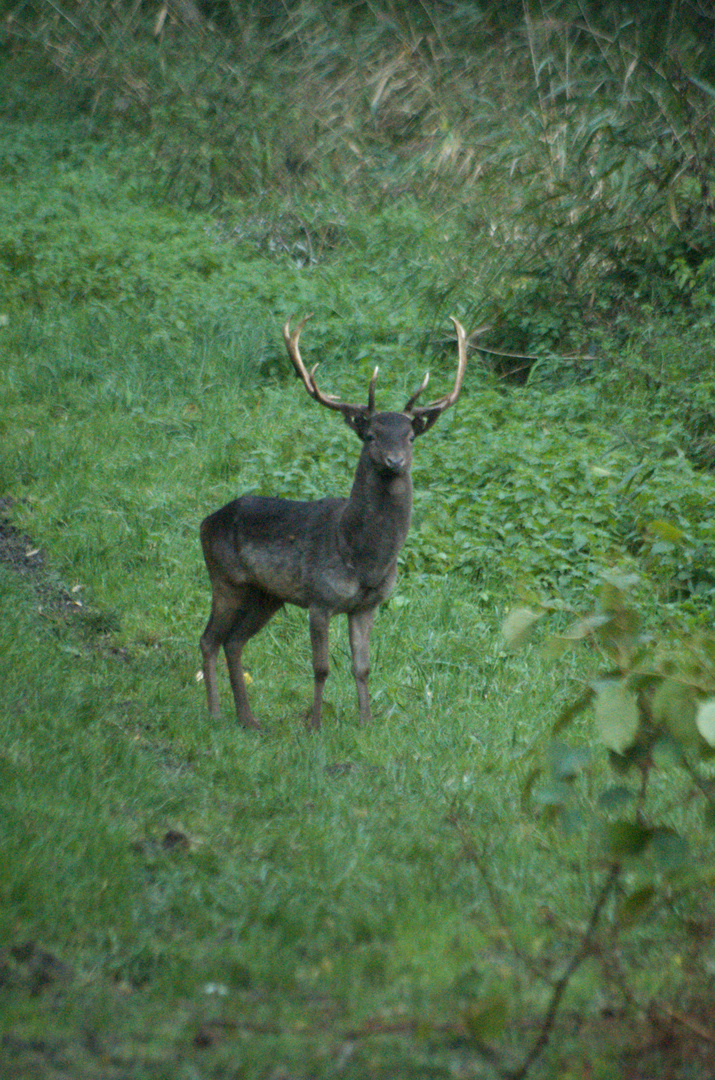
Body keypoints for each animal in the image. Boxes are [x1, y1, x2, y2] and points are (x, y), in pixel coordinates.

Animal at [199, 315, 470, 730]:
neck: (361, 555)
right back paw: (215, 713)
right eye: (371, 434)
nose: (394, 461)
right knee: (209, 638)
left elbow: (363, 667)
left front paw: (366, 723)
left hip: (267, 594)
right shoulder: (320, 598)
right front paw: (314, 725)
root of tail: (204, 523)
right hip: (225, 578)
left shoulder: (367, 605)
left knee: (234, 641)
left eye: (410, 436)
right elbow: (321, 668)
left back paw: (248, 719)